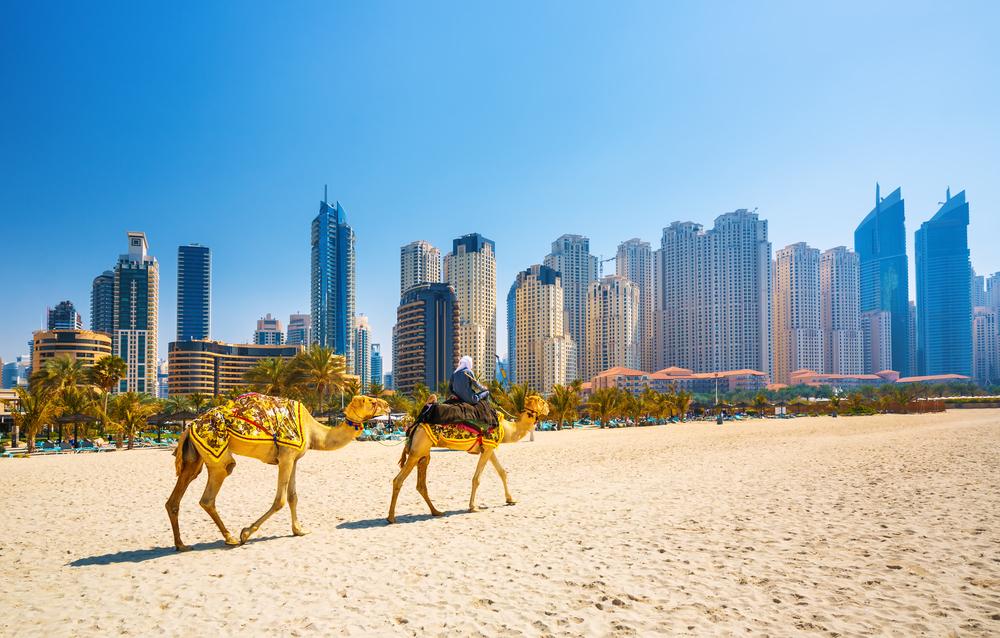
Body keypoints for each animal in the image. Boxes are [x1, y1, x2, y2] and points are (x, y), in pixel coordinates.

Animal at [167, 393, 390, 551]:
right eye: (371, 401)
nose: (387, 404)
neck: (313, 431)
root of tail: (189, 426)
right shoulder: (286, 456)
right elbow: (280, 500)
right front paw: (245, 533)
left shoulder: (293, 459)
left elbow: (293, 496)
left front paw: (299, 530)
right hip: (217, 455)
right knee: (208, 497)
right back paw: (230, 538)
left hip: (196, 458)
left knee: (175, 499)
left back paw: (181, 545)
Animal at [387, 395, 549, 523]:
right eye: (541, 401)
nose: (548, 407)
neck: (509, 428)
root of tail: (416, 424)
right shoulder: (488, 447)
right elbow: (476, 478)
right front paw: (473, 507)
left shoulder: (489, 448)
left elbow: (502, 472)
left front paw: (510, 500)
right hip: (417, 451)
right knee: (398, 480)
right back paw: (391, 518)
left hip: (424, 453)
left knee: (421, 485)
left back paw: (436, 512)